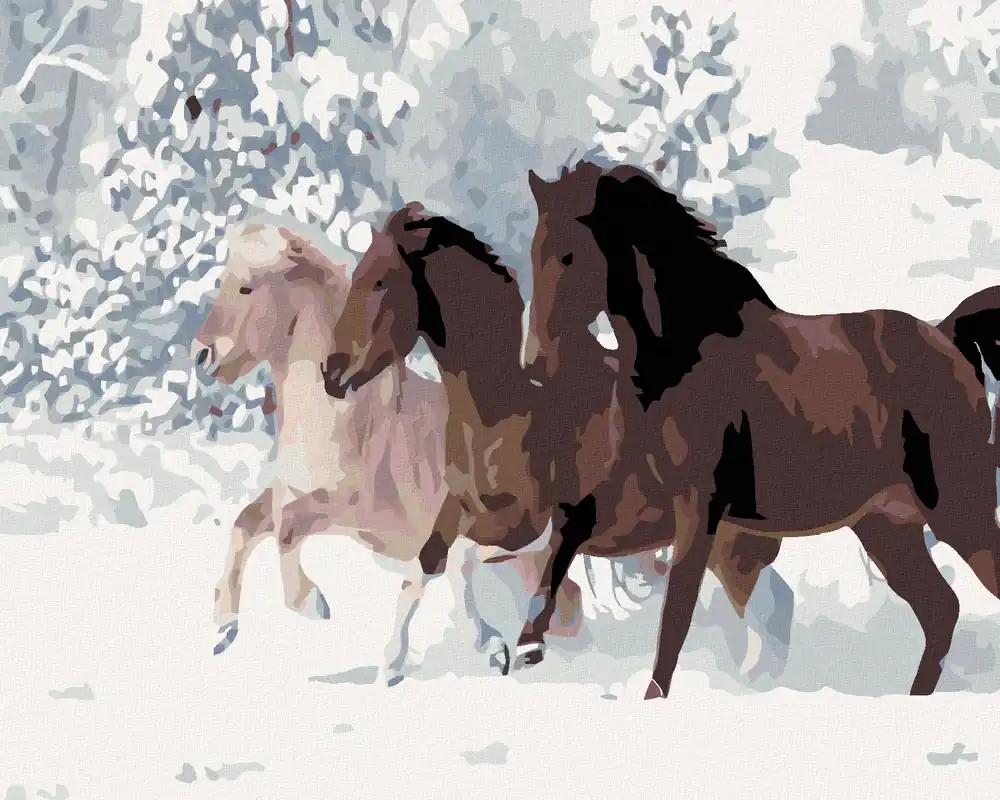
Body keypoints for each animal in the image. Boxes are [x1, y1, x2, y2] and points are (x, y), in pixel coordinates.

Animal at [189, 219, 582, 683]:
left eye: (247, 287)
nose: (201, 354)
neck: (331, 417)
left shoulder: (340, 509)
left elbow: (286, 533)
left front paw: (314, 604)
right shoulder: (287, 493)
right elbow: (245, 526)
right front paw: (223, 629)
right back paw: (485, 647)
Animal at [521, 160, 1000, 698]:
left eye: (569, 255)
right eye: (533, 254)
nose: (536, 364)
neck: (679, 360)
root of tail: (947, 336)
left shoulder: (697, 506)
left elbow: (676, 613)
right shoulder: (643, 497)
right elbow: (572, 525)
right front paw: (526, 644)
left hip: (960, 513)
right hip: (887, 528)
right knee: (941, 611)